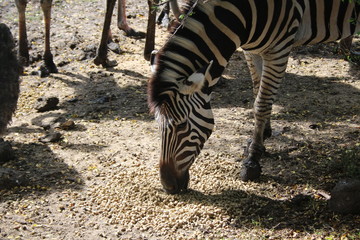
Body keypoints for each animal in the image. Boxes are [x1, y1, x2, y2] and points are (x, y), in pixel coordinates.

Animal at [148, 0, 358, 194]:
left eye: (182, 126)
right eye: (157, 125)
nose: (168, 186)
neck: (242, 12)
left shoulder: (278, 50)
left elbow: (261, 103)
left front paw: (253, 158)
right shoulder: (252, 49)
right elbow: (259, 92)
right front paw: (263, 135)